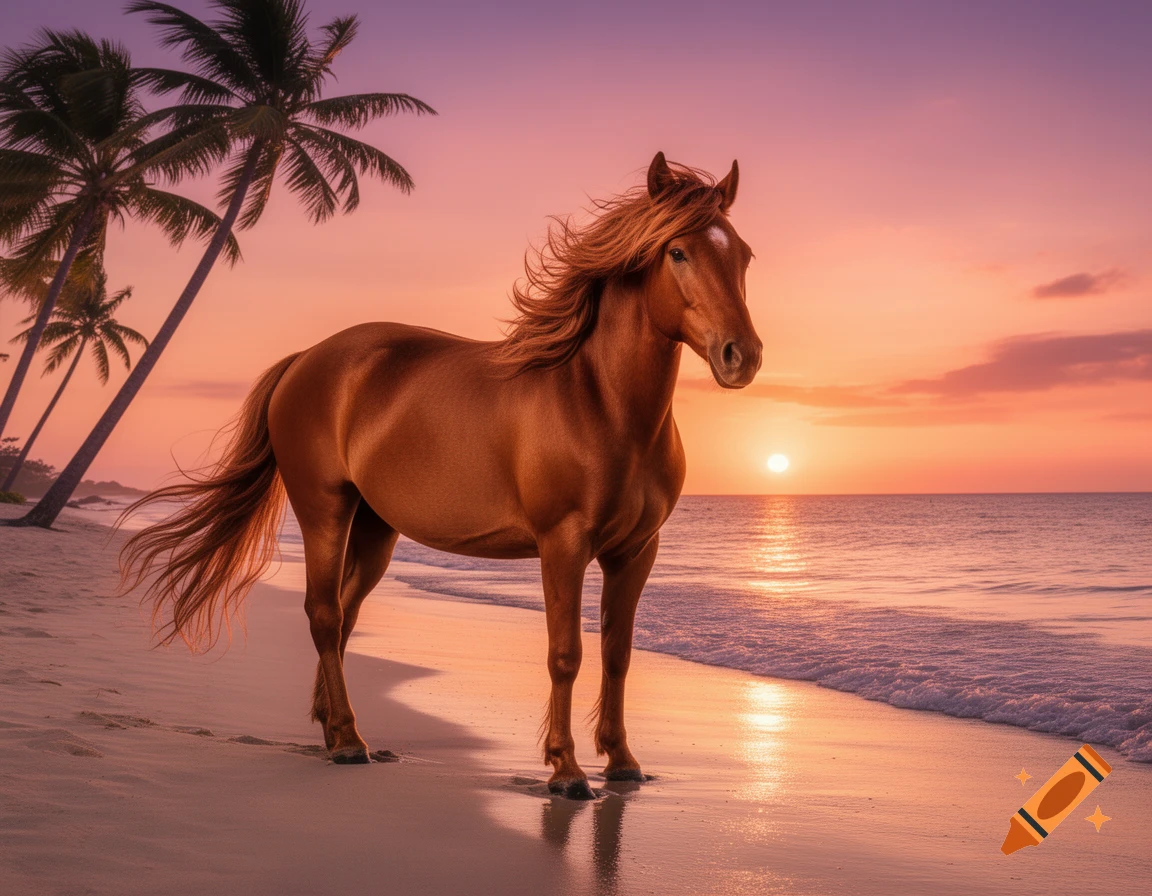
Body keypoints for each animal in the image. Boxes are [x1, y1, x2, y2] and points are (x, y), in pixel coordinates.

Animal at [120, 152, 762, 800]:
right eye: (676, 252)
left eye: (743, 255)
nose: (743, 356)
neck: (601, 402)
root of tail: (306, 359)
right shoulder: (563, 544)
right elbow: (566, 653)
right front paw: (566, 770)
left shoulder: (636, 550)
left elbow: (617, 652)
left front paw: (623, 761)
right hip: (324, 510)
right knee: (325, 614)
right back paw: (349, 741)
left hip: (375, 528)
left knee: (346, 614)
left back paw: (332, 728)